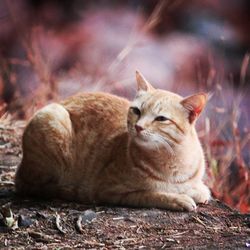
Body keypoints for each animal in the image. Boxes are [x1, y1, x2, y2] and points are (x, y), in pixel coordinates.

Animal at [15, 71, 210, 211]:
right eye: (136, 111)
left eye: (161, 119)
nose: (138, 126)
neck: (172, 161)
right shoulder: (110, 190)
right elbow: (153, 194)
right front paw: (179, 198)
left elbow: (200, 190)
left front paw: (195, 191)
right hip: (53, 118)